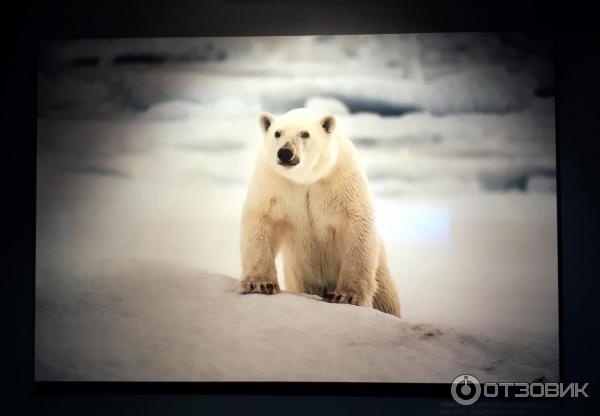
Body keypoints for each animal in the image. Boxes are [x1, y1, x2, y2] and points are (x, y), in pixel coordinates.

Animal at [237, 109, 400, 316]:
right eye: (277, 133)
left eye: (305, 134)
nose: (285, 153)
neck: (306, 179)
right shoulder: (273, 181)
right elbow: (261, 219)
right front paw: (260, 284)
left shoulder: (341, 179)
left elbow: (355, 224)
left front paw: (345, 296)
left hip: (382, 271)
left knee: (386, 298)